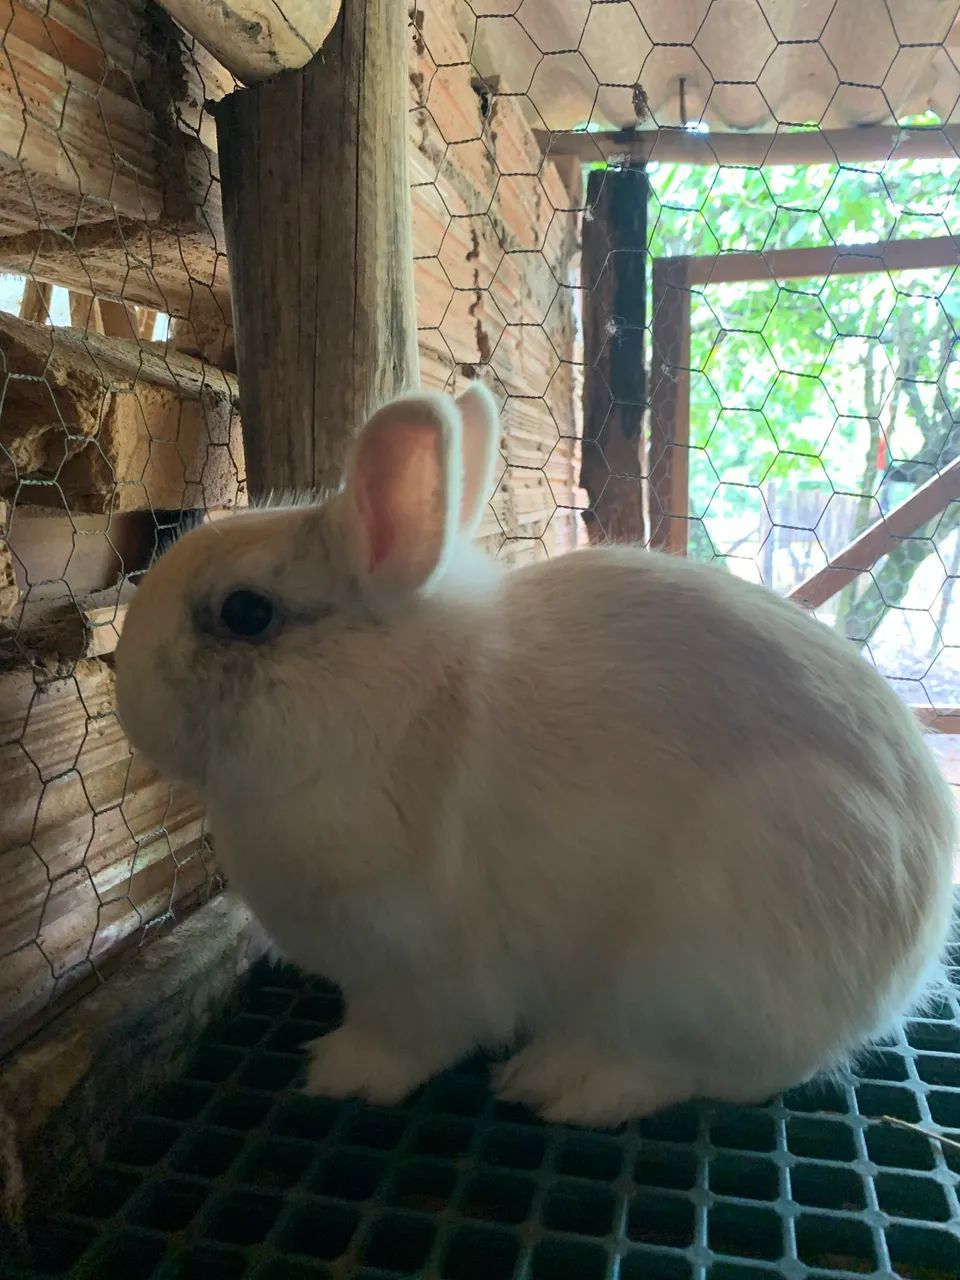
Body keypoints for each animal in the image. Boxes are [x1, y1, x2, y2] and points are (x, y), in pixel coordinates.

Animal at [114, 382, 958, 1126]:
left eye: (246, 613)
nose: (126, 704)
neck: (388, 708)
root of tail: (906, 963)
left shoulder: (418, 968)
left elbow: (405, 1041)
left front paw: (336, 1073)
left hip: (696, 960)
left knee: (697, 1069)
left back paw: (562, 1083)